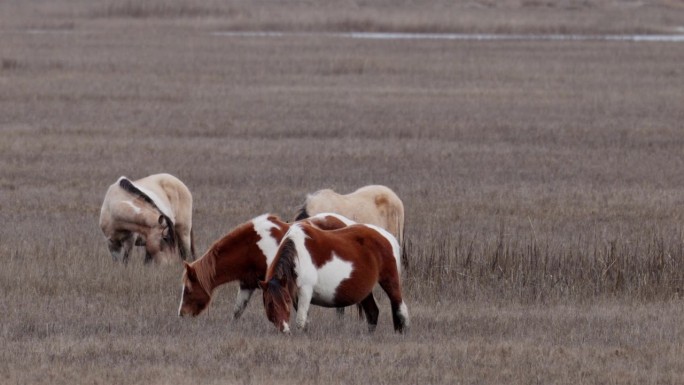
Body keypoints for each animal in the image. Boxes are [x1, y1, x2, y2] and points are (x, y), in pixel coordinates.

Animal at [260, 222, 408, 332]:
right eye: (269, 303)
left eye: (286, 300)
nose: (284, 329)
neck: (297, 252)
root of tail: (388, 236)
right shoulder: (296, 294)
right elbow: (305, 320)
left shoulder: (305, 290)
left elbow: (301, 321)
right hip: (365, 291)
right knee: (372, 313)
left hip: (390, 281)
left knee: (400, 307)